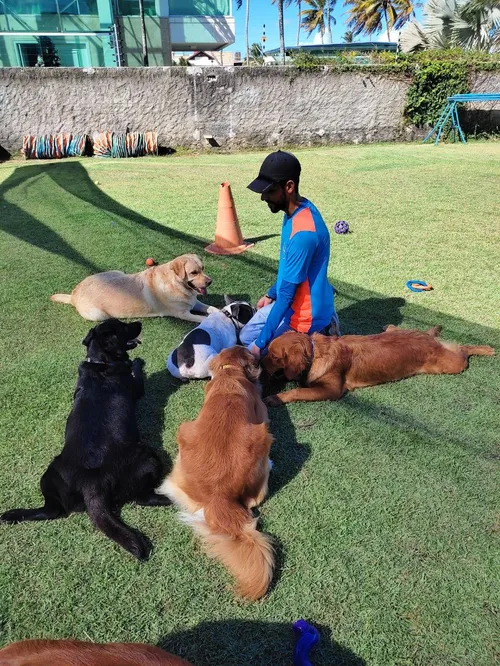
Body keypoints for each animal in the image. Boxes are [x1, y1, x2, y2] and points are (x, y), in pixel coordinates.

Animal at [0, 320, 170, 556]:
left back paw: (13, 514)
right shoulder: (136, 387)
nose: (139, 322)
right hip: (148, 457)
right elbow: (137, 373)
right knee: (142, 498)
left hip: (49, 475)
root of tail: (93, 484)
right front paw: (138, 362)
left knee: (51, 510)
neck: (101, 362)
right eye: (124, 326)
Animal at [50, 252, 219, 322]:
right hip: (98, 315)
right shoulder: (182, 313)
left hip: (116, 271)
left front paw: (219, 311)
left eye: (203, 268)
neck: (175, 283)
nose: (210, 281)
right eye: (193, 272)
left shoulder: (195, 302)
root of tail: (74, 294)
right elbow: (202, 318)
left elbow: (212, 308)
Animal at [156, 344, 274, 600]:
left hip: (183, 434)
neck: (229, 372)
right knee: (255, 498)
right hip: (264, 436)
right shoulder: (262, 412)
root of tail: (219, 496)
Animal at [264, 322, 494, 404]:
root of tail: (426, 337)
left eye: (274, 357)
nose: (259, 362)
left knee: (464, 349)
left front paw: (276, 398)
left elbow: (298, 391)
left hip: (451, 365)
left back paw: (487, 349)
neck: (315, 353)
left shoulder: (332, 390)